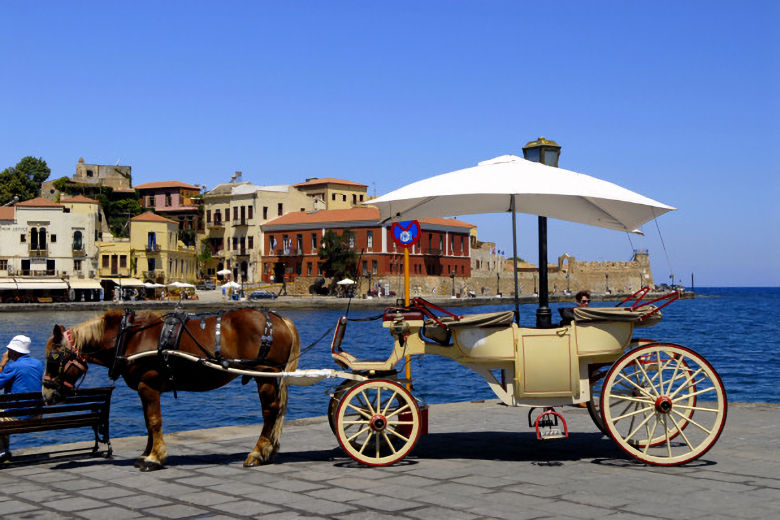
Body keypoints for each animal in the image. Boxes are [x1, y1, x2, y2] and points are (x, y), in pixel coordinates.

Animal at [42, 306, 302, 474]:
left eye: (52, 358)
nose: (45, 394)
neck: (129, 337)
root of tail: (279, 319)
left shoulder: (148, 385)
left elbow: (154, 421)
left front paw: (154, 457)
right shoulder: (144, 389)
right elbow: (147, 422)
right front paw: (146, 454)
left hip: (264, 374)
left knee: (270, 412)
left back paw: (258, 452)